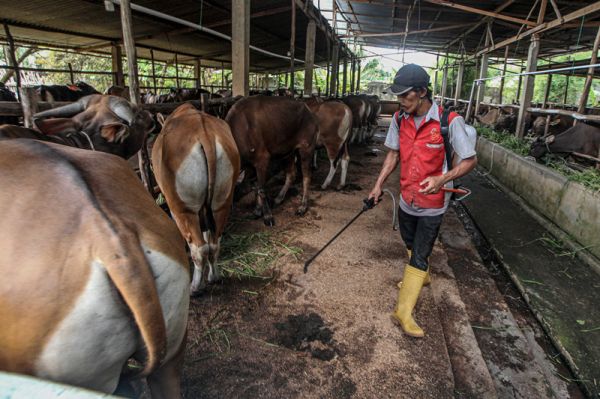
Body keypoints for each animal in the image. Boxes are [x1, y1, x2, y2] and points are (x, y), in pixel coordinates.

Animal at [151, 104, 240, 296]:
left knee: (199, 248)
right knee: (214, 243)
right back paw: (214, 277)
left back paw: (195, 287)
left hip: (183, 209)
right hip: (222, 202)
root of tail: (205, 135)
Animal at [225, 95, 318, 227]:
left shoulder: (262, 160)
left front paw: (268, 216)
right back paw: (278, 198)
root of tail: (309, 112)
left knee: (306, 176)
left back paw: (302, 207)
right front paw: (257, 211)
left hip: (307, 148)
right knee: (291, 174)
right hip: (288, 152)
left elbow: (262, 189)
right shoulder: (251, 166)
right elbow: (256, 186)